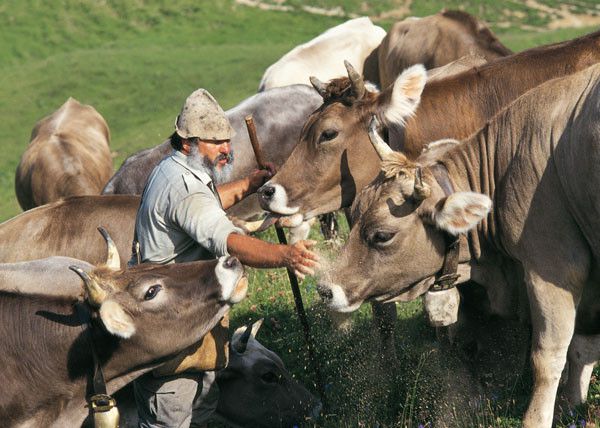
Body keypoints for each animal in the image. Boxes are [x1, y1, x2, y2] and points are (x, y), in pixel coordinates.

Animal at [318, 63, 600, 428]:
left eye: (382, 235)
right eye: (353, 213)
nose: (325, 289)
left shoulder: (552, 269)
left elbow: (548, 357)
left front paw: (537, 418)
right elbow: (583, 348)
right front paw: (572, 405)